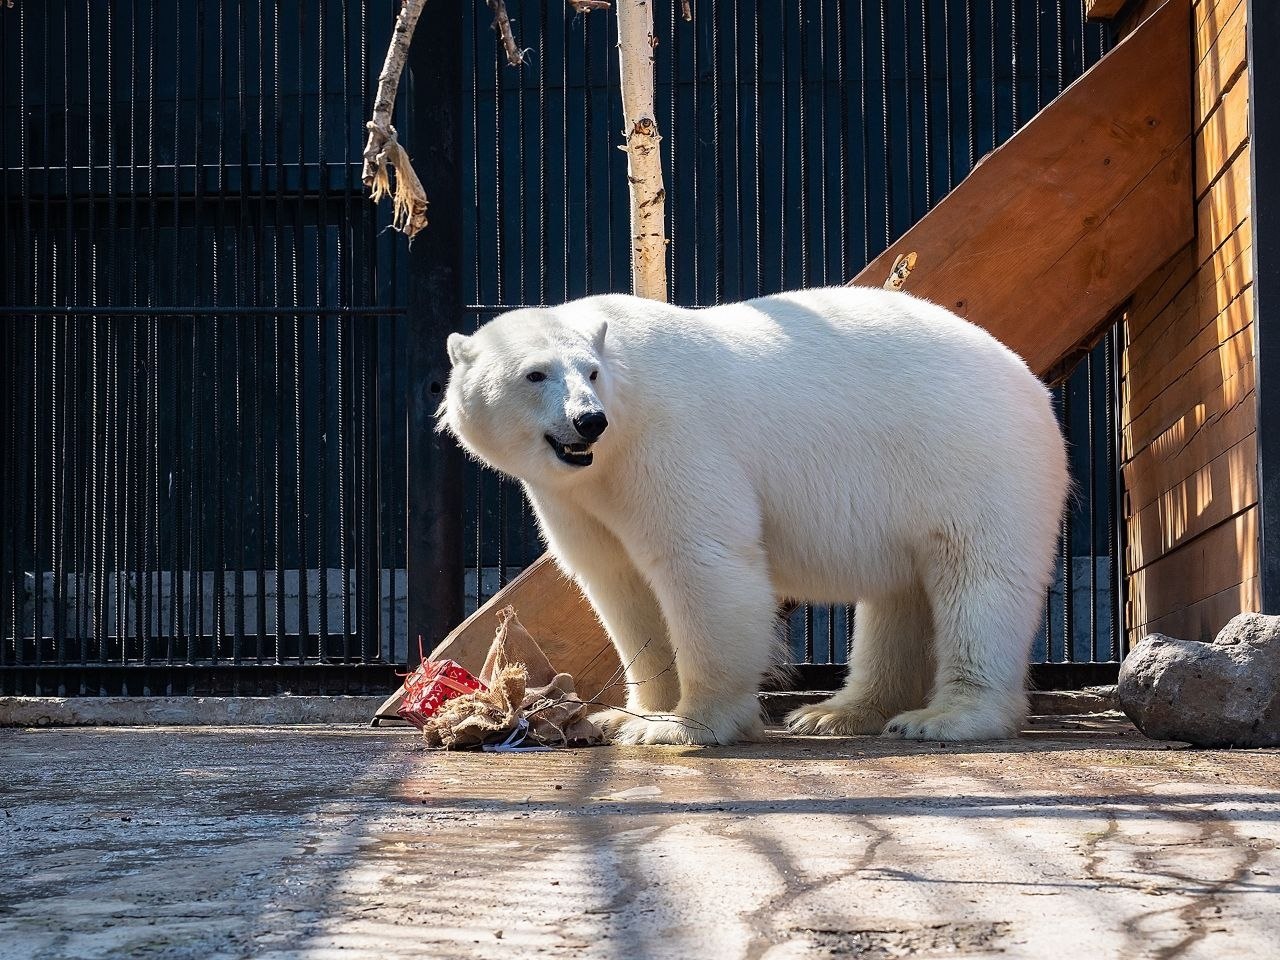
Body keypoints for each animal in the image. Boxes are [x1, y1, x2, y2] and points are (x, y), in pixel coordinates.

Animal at [440, 289, 1070, 747]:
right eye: (535, 374)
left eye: (590, 372)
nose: (588, 420)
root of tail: (1031, 384)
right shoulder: (573, 494)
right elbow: (620, 585)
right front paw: (625, 717)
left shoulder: (670, 439)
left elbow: (703, 561)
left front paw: (683, 725)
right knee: (900, 594)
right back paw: (837, 712)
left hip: (974, 460)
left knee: (980, 578)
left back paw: (944, 717)